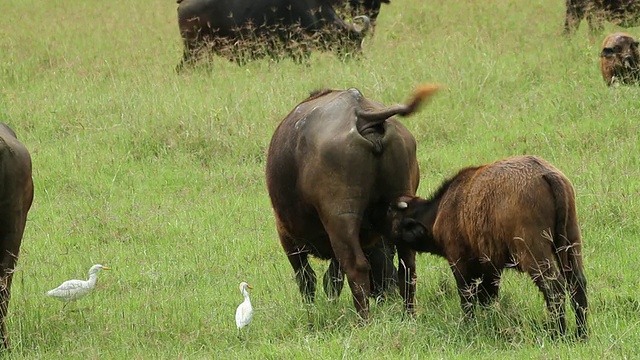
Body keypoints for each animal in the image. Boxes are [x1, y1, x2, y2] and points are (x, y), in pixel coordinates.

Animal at [264, 84, 440, 318]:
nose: (388, 291)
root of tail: (361, 113)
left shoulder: (287, 237)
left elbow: (308, 280)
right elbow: (332, 280)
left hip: (340, 218)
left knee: (356, 266)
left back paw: (363, 320)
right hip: (401, 198)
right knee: (407, 261)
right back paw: (408, 314)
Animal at [382, 156, 588, 338]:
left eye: (390, 212)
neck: (441, 210)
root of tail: (547, 174)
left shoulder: (459, 263)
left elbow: (467, 297)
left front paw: (468, 324)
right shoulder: (491, 269)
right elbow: (488, 298)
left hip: (534, 254)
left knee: (555, 288)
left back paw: (557, 333)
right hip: (571, 244)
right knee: (577, 284)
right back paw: (581, 334)